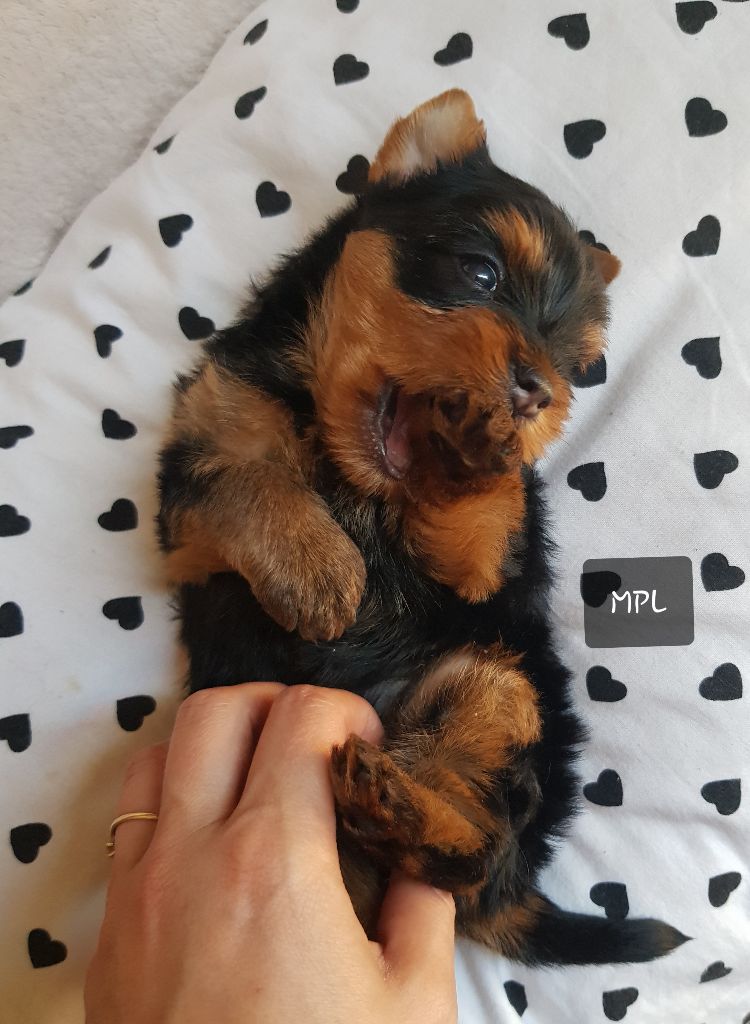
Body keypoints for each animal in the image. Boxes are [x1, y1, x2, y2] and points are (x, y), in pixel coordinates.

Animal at [157, 90, 687, 966]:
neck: (353, 480)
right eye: (480, 273)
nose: (535, 392)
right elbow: (243, 478)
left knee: (471, 844)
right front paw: (316, 569)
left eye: (572, 365)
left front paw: (468, 451)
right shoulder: (195, 489)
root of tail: (512, 889)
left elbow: (478, 520)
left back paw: (403, 814)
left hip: (501, 688)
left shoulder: (489, 565)